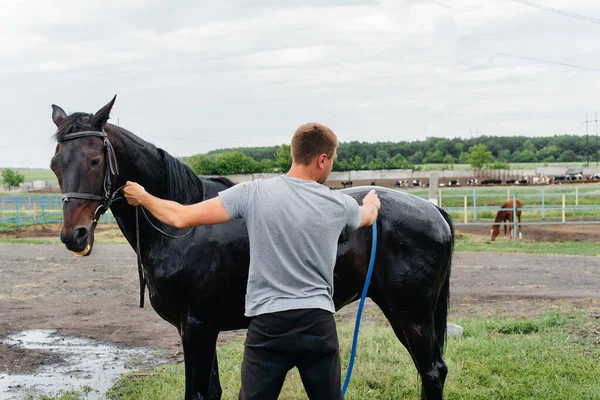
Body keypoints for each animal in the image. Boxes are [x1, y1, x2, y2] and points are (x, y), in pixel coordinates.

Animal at [50, 97, 454, 400]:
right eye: (55, 164)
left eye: (95, 160)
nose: (75, 235)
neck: (182, 227)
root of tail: (433, 210)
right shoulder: (199, 329)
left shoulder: (196, 328)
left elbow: (197, 394)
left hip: (412, 315)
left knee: (432, 371)